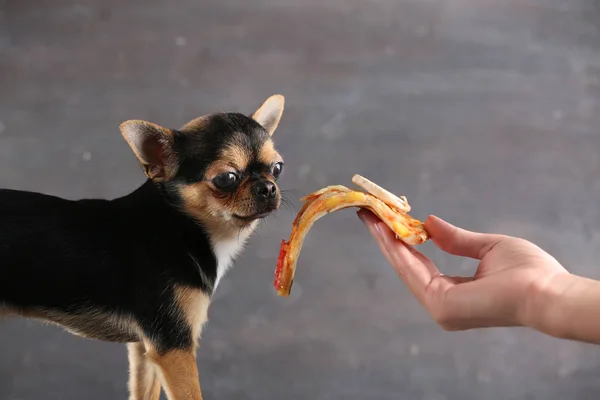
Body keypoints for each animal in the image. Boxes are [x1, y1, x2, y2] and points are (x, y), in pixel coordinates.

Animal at [0, 94, 288, 400]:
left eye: (277, 168)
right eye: (227, 178)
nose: (268, 187)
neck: (180, 227)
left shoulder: (146, 348)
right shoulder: (173, 348)